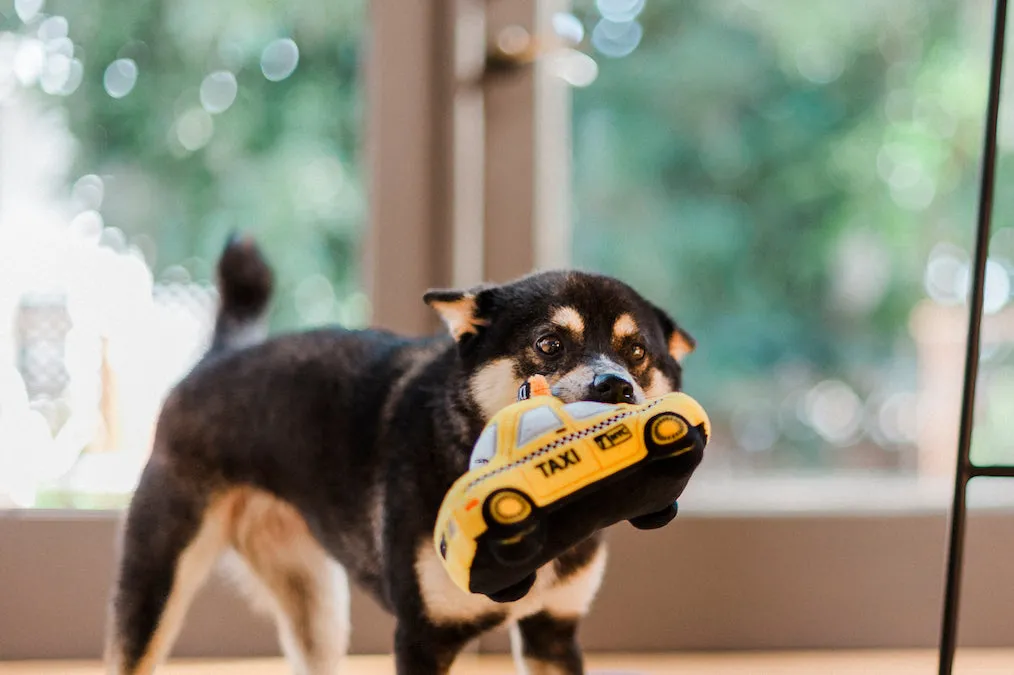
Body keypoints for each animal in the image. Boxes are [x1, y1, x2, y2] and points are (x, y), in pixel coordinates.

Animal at [109, 233, 697, 672]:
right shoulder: (422, 637)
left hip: (315, 609)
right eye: (549, 344)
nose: (615, 386)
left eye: (636, 352)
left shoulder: (552, 632)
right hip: (155, 585)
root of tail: (218, 356)